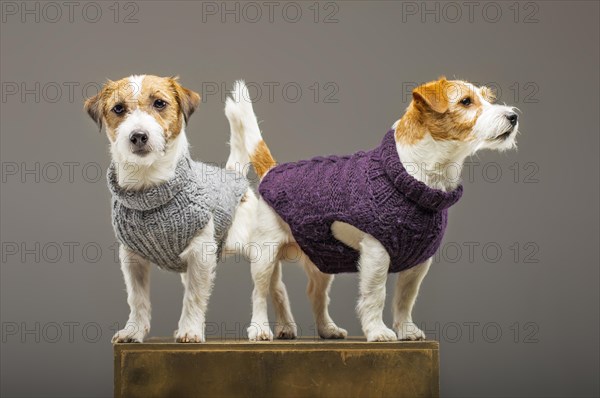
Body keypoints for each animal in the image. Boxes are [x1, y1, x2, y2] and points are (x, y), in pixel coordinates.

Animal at [85, 77, 298, 342]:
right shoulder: (132, 258)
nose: (138, 136)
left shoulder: (201, 253)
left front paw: (190, 330)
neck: (150, 187)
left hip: (261, 251)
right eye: (118, 108)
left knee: (269, 288)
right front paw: (133, 330)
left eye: (159, 103)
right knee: (276, 287)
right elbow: (137, 299)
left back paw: (266, 327)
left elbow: (194, 297)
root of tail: (233, 174)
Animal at [223, 78, 516, 342]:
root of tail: (272, 171)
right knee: (260, 292)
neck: (414, 178)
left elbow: (406, 299)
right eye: (466, 101)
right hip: (265, 254)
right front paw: (378, 331)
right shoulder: (376, 253)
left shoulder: (419, 262)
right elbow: (376, 295)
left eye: (488, 98)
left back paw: (319, 328)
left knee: (306, 293)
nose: (513, 116)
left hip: (321, 257)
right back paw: (260, 329)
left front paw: (406, 330)